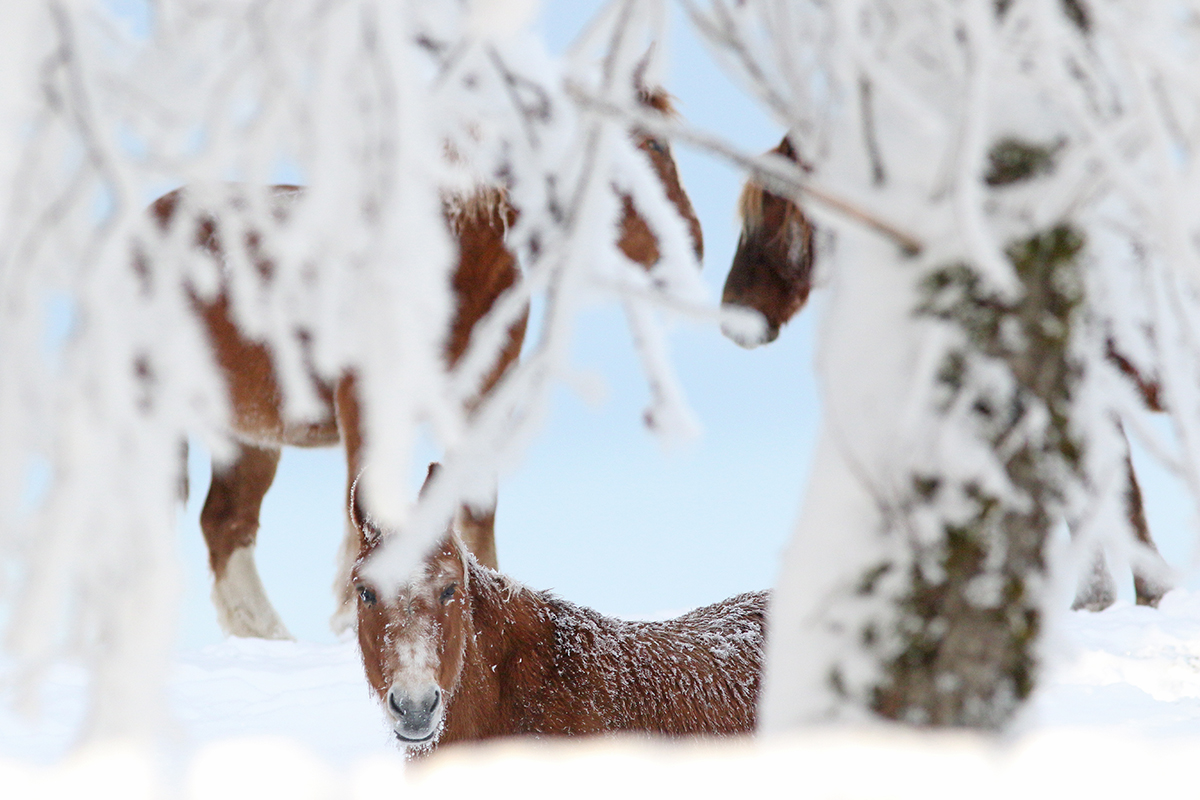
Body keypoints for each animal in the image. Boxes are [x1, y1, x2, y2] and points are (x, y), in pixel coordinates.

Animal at [152, 87, 700, 642]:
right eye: (652, 143)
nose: (690, 243)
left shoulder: (482, 401)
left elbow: (475, 507)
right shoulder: (367, 402)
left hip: (249, 433)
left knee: (225, 523)